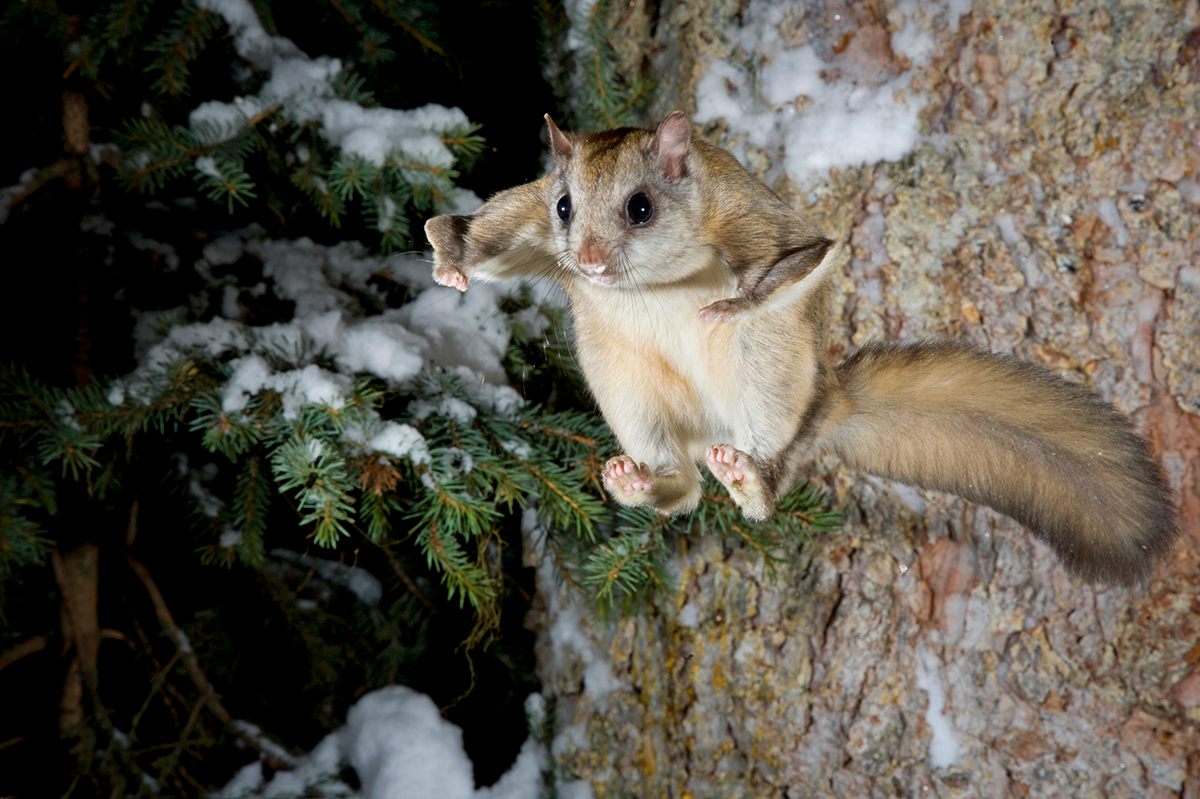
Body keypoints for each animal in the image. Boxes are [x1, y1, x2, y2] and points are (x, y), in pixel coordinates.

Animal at [427, 110, 1176, 578]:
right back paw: (643, 479)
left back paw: (751, 479)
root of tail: (826, 404)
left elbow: (799, 255)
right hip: (627, 386)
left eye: (641, 207)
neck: (654, 280)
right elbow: (500, 229)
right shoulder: (530, 214)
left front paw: (728, 304)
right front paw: (451, 254)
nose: (584, 261)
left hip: (770, 373)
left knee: (772, 468)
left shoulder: (753, 218)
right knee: (684, 488)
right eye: (563, 207)